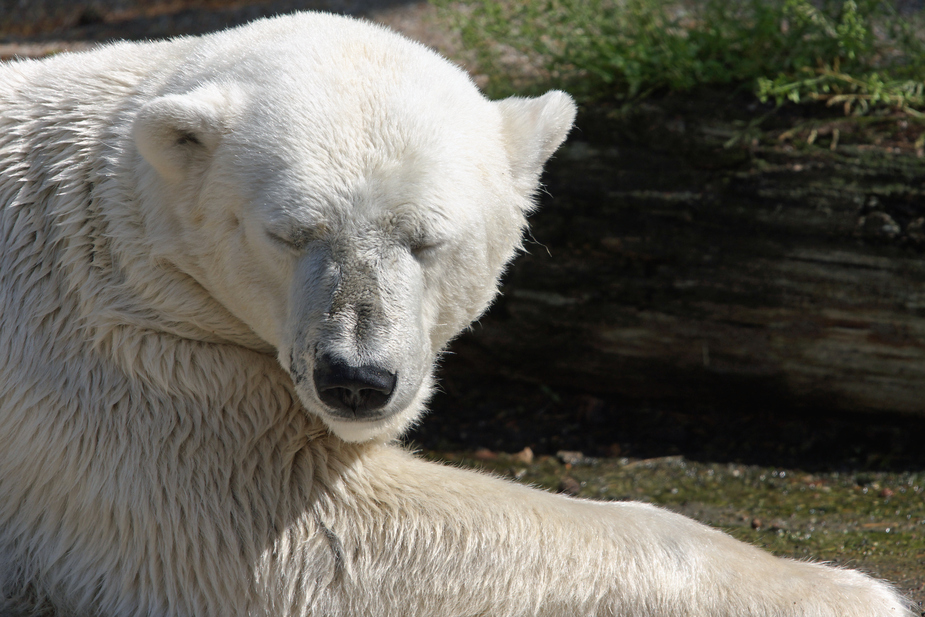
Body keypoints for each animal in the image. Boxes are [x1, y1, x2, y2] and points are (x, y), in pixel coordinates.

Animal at [0, 10, 908, 616]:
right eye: (289, 232)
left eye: (426, 238)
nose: (355, 378)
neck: (102, 236)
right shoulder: (127, 372)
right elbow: (306, 541)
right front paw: (847, 588)